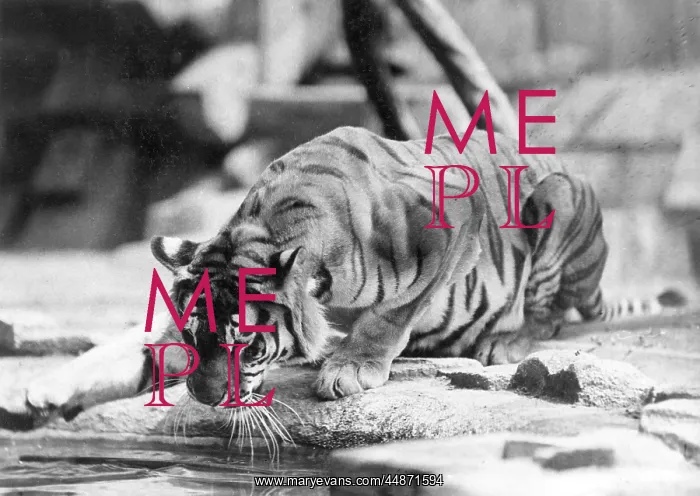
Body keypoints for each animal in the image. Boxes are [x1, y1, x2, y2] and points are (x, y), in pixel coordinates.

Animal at [3, 125, 686, 430]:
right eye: (197, 339)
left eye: (246, 346)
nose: (204, 398)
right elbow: (131, 343)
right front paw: (43, 390)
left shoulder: (450, 220)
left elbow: (394, 311)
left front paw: (351, 367)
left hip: (559, 196)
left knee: (551, 312)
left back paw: (505, 340)